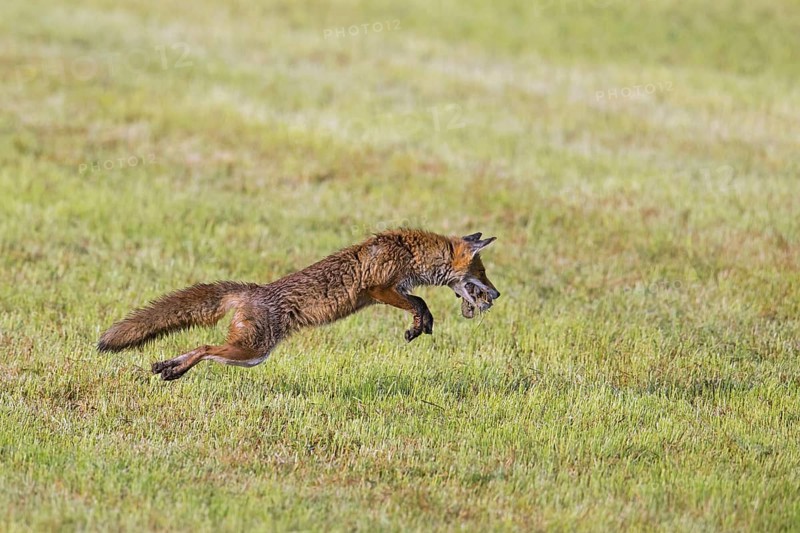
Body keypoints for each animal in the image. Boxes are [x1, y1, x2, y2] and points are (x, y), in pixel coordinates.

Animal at [97, 229, 500, 381]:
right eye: (482, 271)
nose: (496, 295)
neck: (410, 251)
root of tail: (254, 290)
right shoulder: (378, 288)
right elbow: (418, 301)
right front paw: (420, 323)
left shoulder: (387, 291)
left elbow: (418, 301)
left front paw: (420, 326)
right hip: (252, 350)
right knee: (205, 347)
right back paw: (174, 370)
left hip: (250, 354)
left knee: (201, 347)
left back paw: (167, 367)